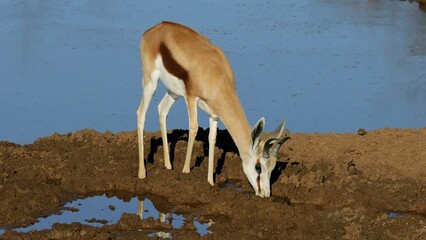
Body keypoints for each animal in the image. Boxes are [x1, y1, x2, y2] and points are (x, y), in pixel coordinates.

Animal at [136, 21, 290, 197]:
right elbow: (194, 128)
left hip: (173, 92)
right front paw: (186, 173)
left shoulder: (214, 114)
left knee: (162, 109)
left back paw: (168, 167)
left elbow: (212, 138)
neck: (215, 74)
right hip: (150, 82)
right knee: (141, 113)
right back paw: (142, 173)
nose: (265, 194)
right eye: (258, 167)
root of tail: (154, 28)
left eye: (272, 168)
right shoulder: (191, 98)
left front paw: (210, 182)